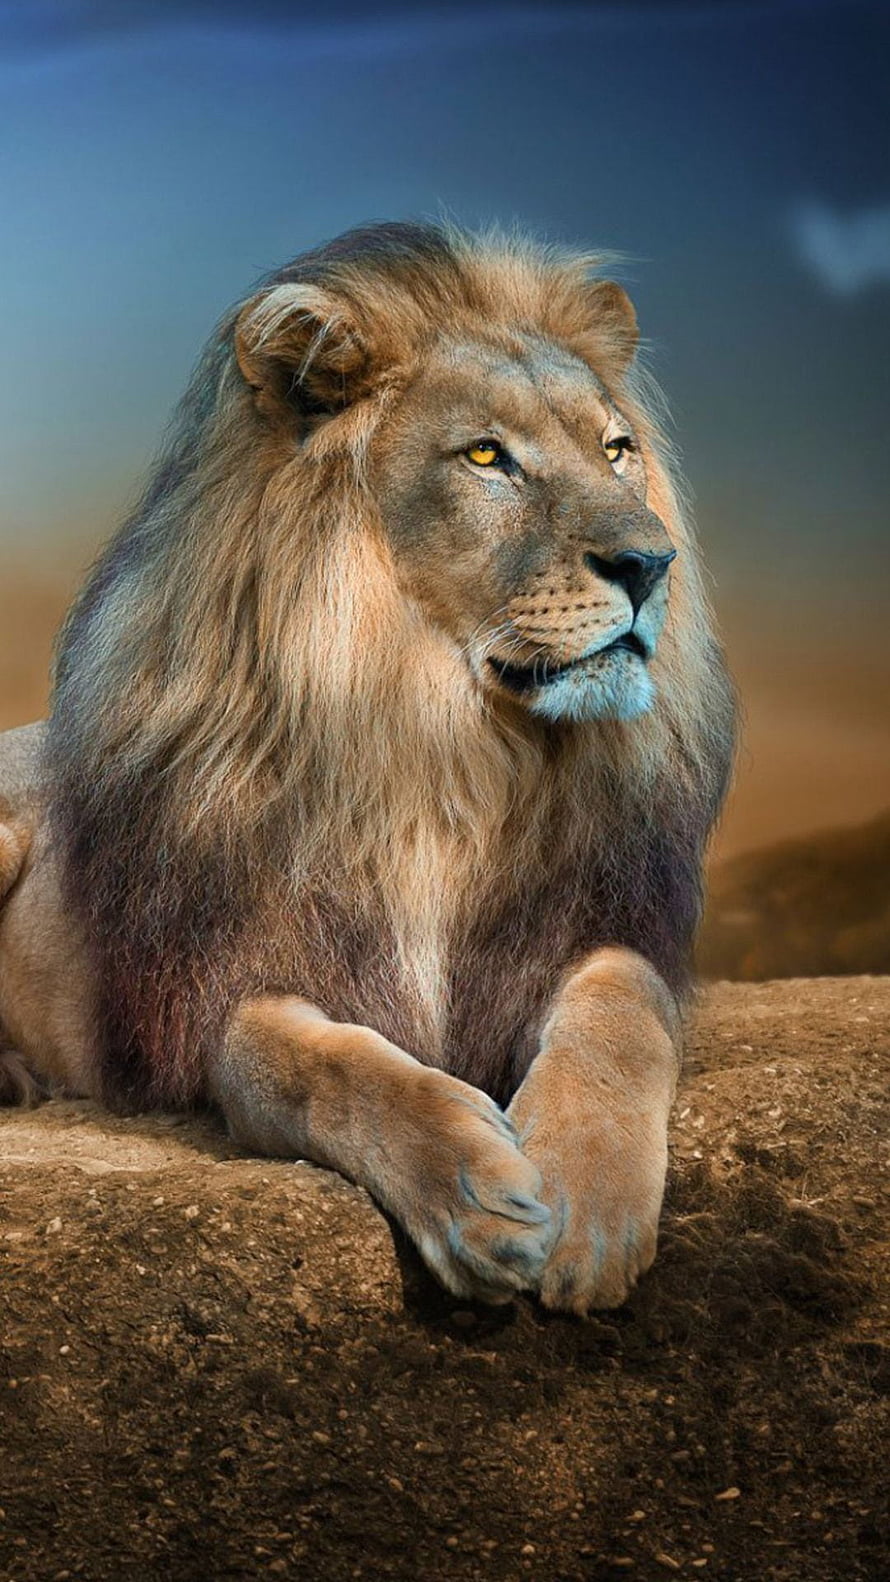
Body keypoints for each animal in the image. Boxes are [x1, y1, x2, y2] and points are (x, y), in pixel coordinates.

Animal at [0, 222, 735, 1312]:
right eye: (486, 456)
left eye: (616, 450)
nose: (650, 565)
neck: (440, 748)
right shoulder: (233, 983)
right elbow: (322, 1066)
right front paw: (477, 1195)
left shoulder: (590, 923)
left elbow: (621, 1010)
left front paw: (586, 1203)